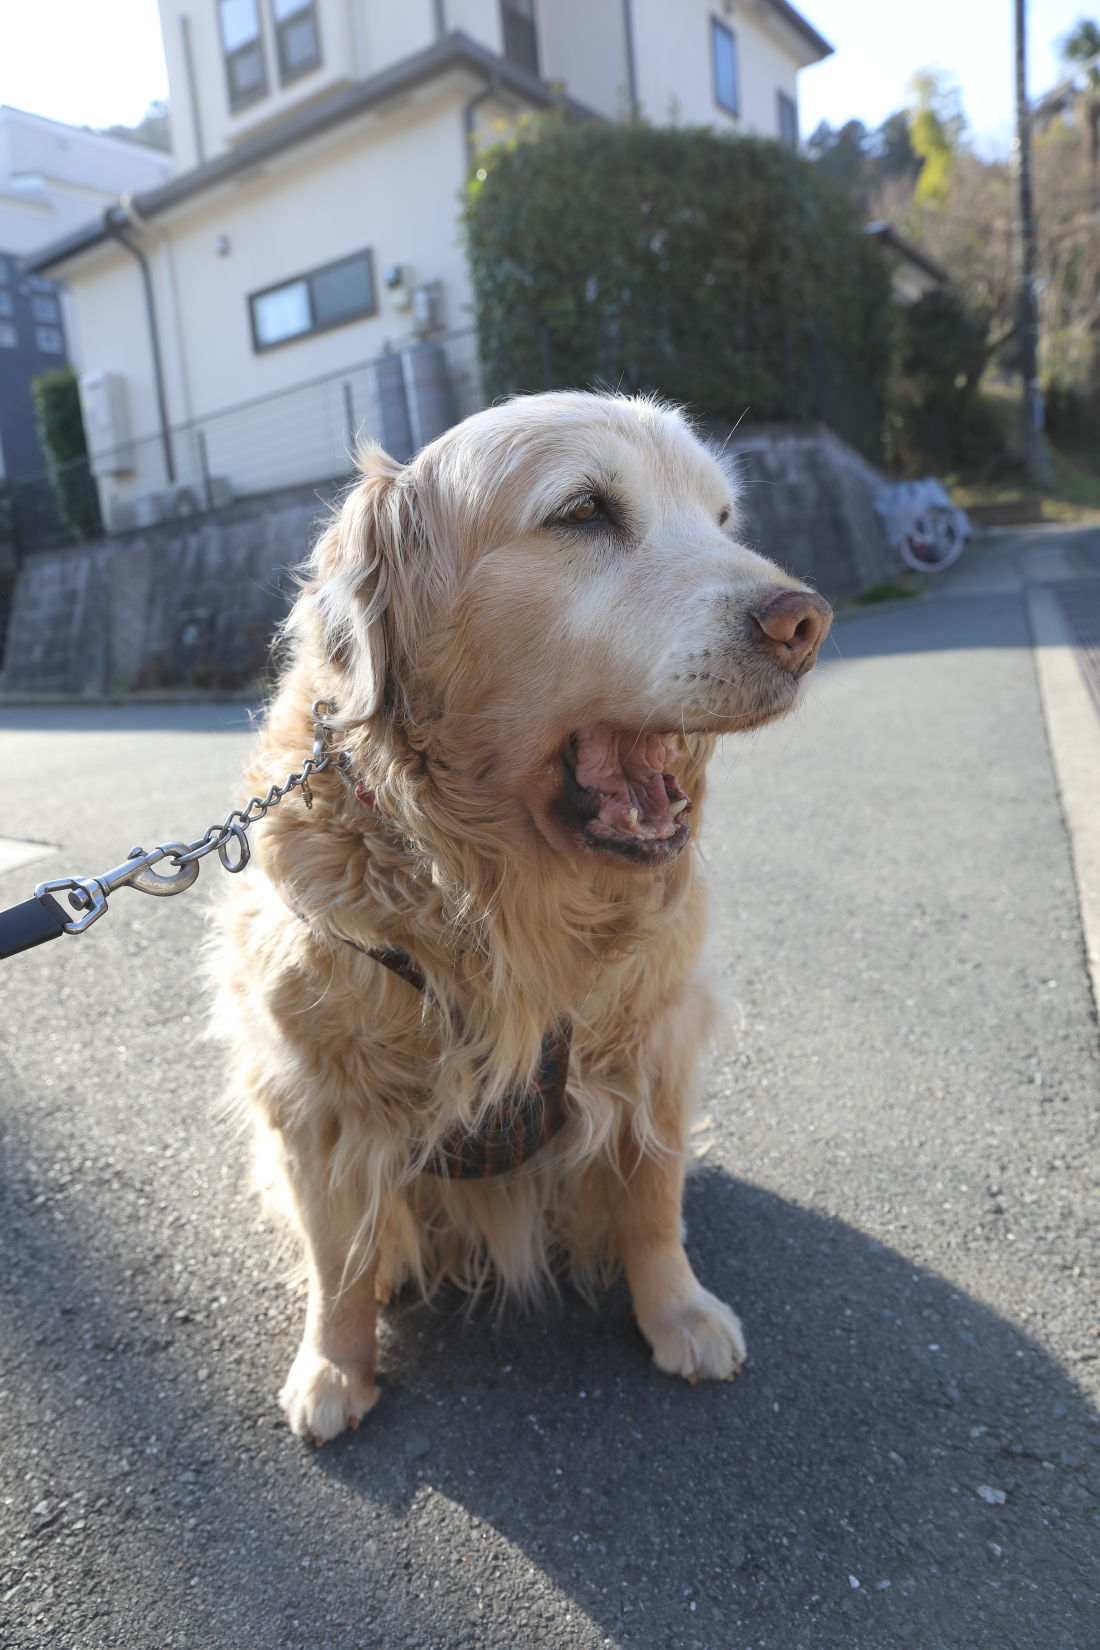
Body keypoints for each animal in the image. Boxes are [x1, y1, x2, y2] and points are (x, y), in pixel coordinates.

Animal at [214, 389, 831, 1445]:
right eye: (583, 512)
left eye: (722, 519)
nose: (806, 621)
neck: (496, 891)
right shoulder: (311, 1098)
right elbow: (338, 1256)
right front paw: (335, 1366)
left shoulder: (656, 1043)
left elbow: (653, 1205)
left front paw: (678, 1313)